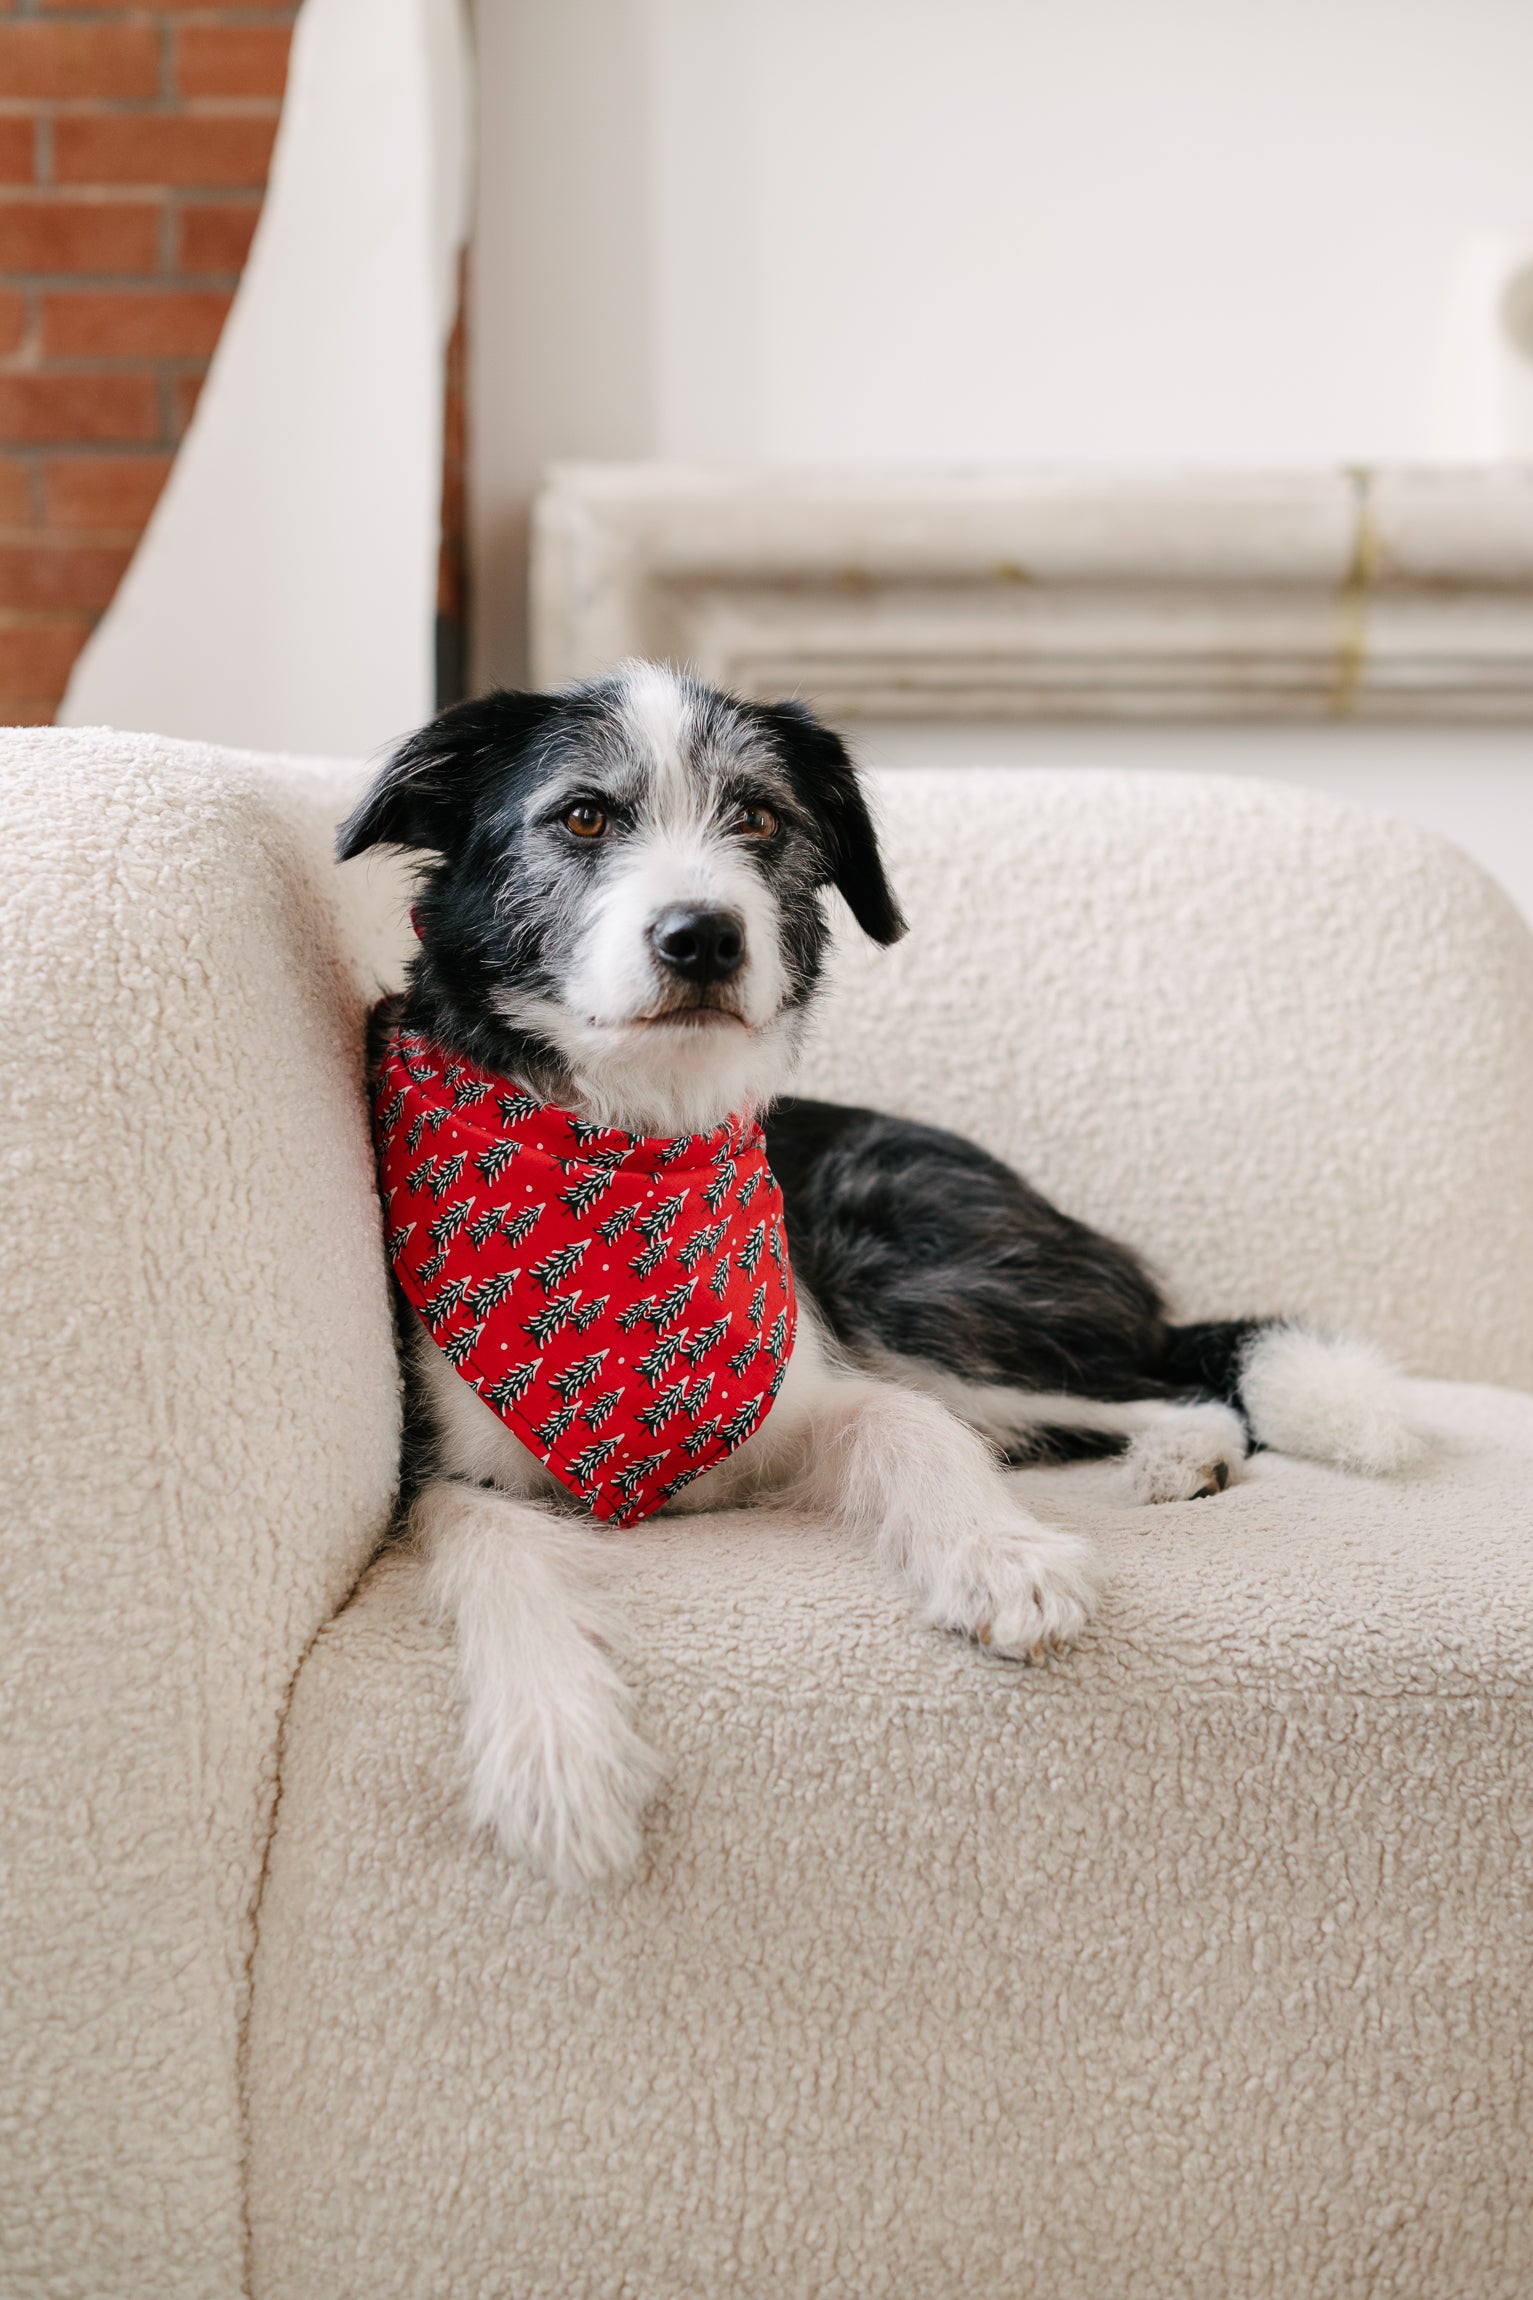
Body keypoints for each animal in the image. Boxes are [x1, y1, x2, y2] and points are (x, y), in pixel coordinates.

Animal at [342, 662, 1424, 1886]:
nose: (702, 935)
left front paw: (999, 1555)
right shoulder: (440, 1469)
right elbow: (497, 1542)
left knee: (1157, 1386)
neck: (633, 1141)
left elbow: (904, 1424)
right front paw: (556, 1753)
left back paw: (1176, 1455)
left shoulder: (800, 1373)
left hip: (907, 1287)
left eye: (760, 818)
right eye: (581, 815)